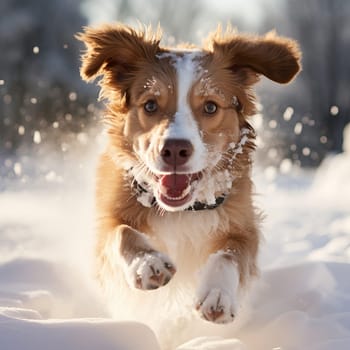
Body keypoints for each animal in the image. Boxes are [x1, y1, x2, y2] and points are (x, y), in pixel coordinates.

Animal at [76, 23, 300, 328]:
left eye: (210, 106)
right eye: (150, 105)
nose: (174, 149)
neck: (181, 211)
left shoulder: (243, 224)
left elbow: (229, 254)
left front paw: (217, 294)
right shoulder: (108, 221)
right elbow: (121, 232)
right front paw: (148, 263)